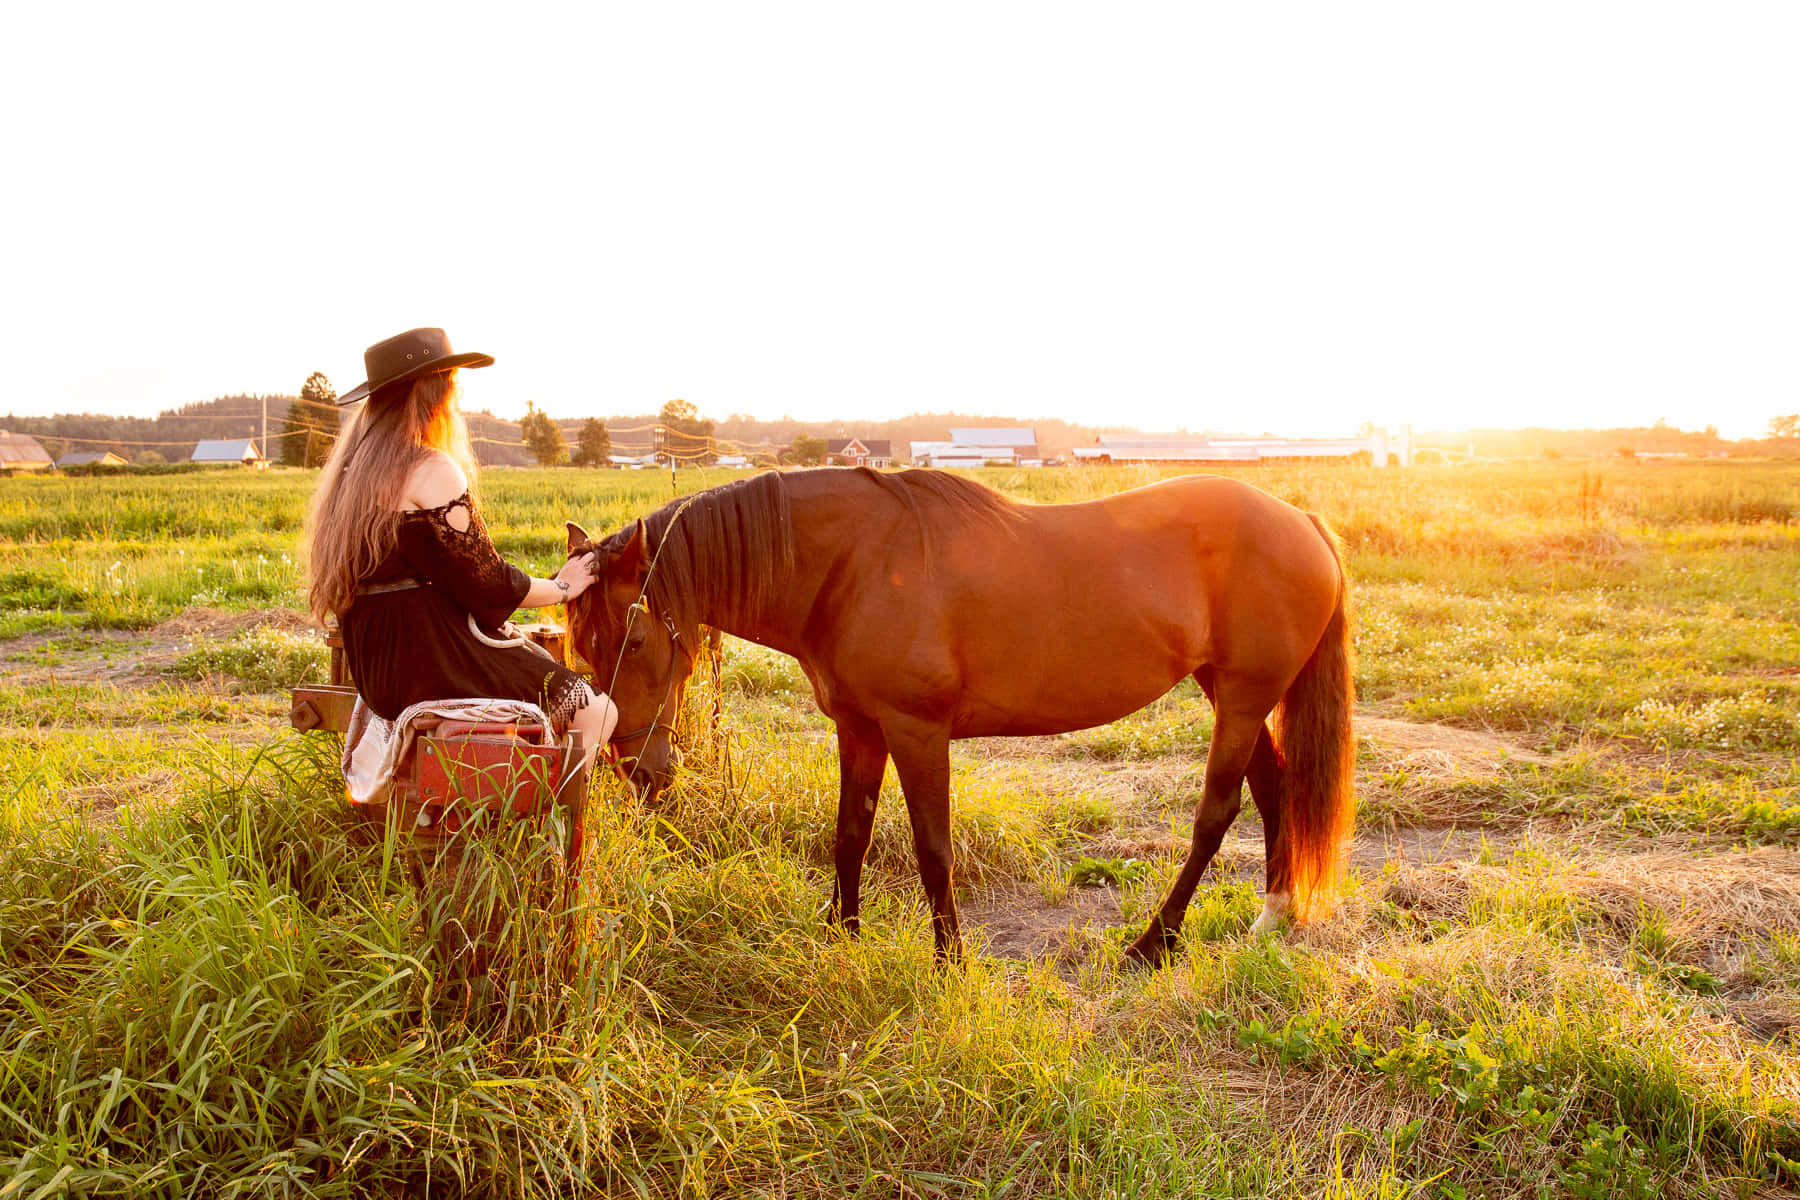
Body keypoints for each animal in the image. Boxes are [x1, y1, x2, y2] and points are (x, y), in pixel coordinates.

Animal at [568, 464, 1353, 971]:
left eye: (632, 640)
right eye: (580, 646)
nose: (640, 770)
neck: (849, 565)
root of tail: (1304, 521)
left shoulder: (917, 731)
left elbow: (932, 849)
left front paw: (950, 965)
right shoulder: (858, 728)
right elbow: (850, 835)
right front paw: (843, 937)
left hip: (1244, 697)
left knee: (1216, 814)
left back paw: (1153, 944)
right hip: (1229, 692)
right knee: (1275, 789)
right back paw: (1273, 917)